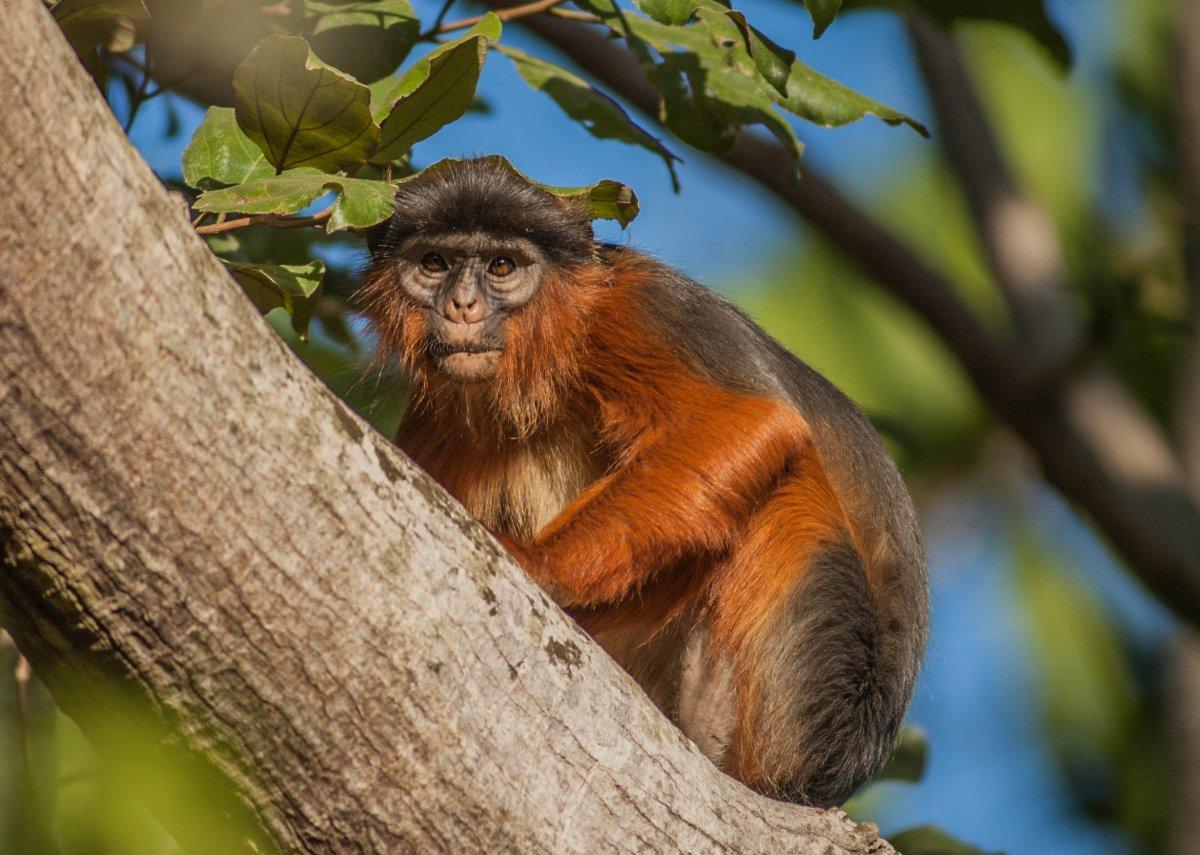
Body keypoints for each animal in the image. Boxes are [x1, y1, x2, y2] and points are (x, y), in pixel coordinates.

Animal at [360, 157, 931, 806]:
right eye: (435, 264)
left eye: (501, 267)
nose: (461, 305)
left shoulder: (645, 308)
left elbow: (753, 422)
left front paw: (533, 566)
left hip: (793, 706)